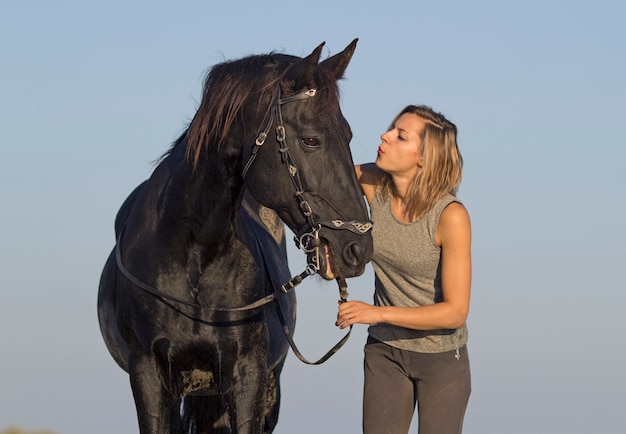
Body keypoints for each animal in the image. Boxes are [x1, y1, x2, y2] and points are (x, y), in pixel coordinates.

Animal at [96, 39, 370, 432]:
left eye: (347, 136)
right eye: (311, 140)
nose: (358, 246)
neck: (193, 254)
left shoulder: (248, 375)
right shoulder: (148, 376)